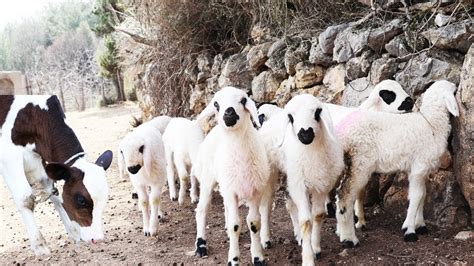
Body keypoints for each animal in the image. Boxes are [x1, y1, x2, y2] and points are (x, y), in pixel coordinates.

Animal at [0, 95, 113, 256]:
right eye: (81, 200)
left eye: (105, 198)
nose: (97, 239)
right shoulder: (9, 158)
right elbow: (26, 200)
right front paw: (40, 246)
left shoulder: (43, 163)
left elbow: (55, 195)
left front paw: (73, 233)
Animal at [191, 86, 268, 264]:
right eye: (216, 104)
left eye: (243, 100)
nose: (229, 112)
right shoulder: (232, 192)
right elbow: (235, 226)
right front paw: (233, 259)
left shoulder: (255, 192)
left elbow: (254, 223)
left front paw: (257, 257)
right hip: (208, 180)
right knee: (202, 210)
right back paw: (201, 245)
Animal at [336, 80, 458, 246]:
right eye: (453, 90)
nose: (456, 85)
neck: (431, 122)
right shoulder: (419, 167)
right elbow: (417, 195)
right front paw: (409, 230)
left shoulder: (419, 170)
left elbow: (423, 195)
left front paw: (420, 225)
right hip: (359, 163)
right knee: (345, 197)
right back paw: (349, 239)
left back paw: (340, 231)